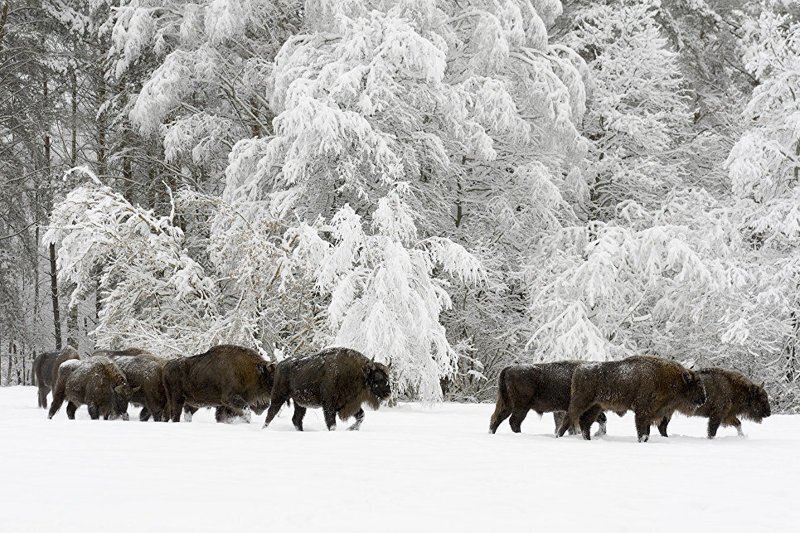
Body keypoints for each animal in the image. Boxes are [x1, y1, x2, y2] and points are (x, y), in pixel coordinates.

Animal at [262, 348, 390, 430]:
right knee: (270, 414)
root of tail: (279, 365)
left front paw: (351, 429)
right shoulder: (329, 406)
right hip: (278, 397)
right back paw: (264, 429)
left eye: (387, 377)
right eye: (377, 378)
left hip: (300, 403)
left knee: (296, 419)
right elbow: (332, 424)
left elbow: (361, 416)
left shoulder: (349, 404)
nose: (388, 394)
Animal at [556, 358, 708, 440]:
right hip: (580, 402)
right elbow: (642, 432)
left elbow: (647, 431)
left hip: (596, 406)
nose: (704, 399)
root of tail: (579, 369)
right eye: (697, 384)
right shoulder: (642, 412)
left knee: (585, 423)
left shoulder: (651, 414)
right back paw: (559, 436)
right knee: (569, 418)